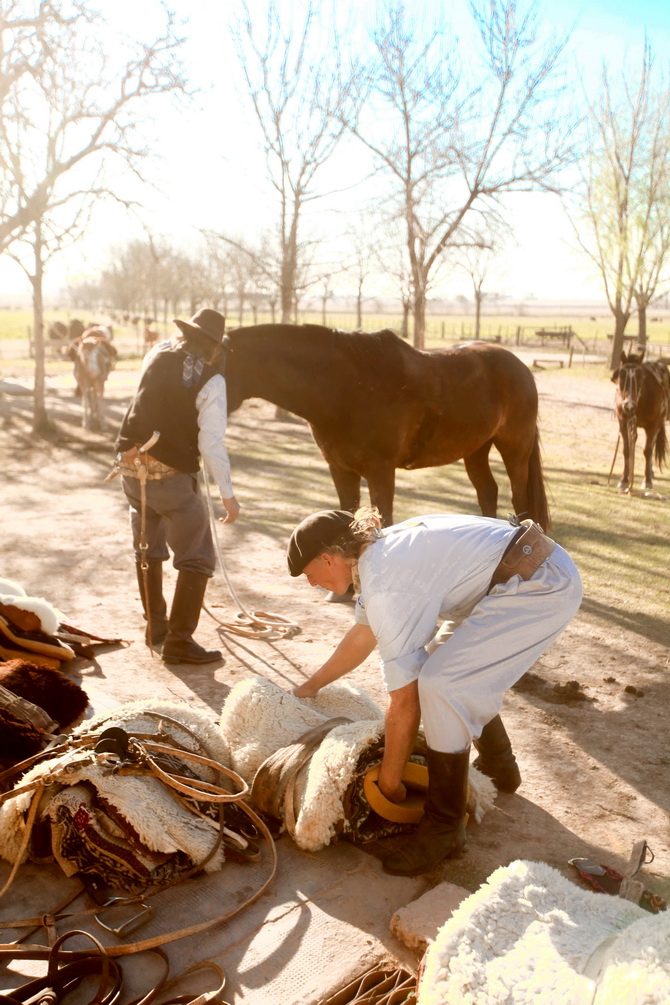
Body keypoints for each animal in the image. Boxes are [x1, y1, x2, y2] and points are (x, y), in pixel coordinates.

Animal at [222, 323, 554, 530]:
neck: (345, 387)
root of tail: (519, 366)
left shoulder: (380, 471)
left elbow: (384, 518)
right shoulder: (340, 470)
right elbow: (350, 513)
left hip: (515, 448)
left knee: (518, 496)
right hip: (475, 449)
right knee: (487, 491)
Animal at [614, 347, 670, 492]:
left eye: (640, 376)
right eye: (621, 375)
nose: (629, 406)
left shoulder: (654, 425)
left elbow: (647, 451)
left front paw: (647, 481)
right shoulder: (623, 423)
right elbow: (627, 450)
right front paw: (624, 480)